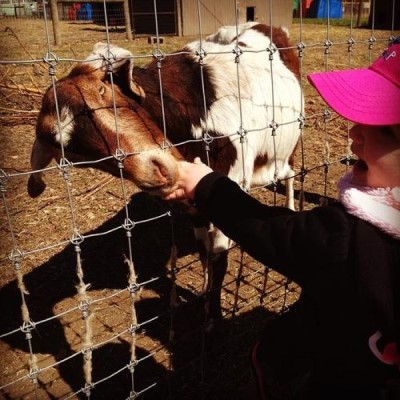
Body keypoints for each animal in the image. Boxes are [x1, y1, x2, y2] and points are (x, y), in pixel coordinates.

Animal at [28, 23, 304, 320]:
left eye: (102, 90)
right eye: (72, 152)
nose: (157, 171)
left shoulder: (230, 187)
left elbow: (219, 259)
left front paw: (214, 317)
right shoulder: (197, 204)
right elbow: (203, 252)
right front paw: (203, 296)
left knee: (289, 173)